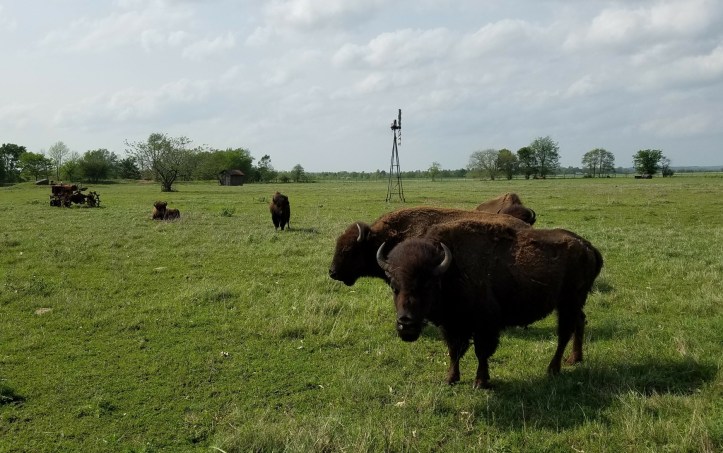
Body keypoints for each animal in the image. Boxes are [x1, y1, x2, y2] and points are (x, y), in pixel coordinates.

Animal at [375, 219, 603, 389]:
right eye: (394, 287)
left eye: (427, 285)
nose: (406, 325)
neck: (451, 269)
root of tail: (588, 247)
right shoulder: (452, 325)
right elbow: (454, 351)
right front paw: (451, 378)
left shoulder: (485, 325)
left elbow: (481, 352)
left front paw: (480, 382)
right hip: (573, 303)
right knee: (580, 322)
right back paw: (575, 359)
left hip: (568, 303)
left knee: (564, 333)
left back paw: (553, 369)